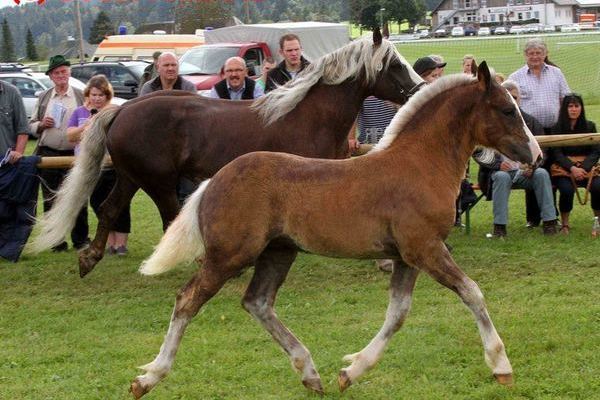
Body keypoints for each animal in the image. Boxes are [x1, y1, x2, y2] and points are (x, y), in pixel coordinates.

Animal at [28, 30, 422, 278]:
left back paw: (89, 260)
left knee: (110, 210)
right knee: (170, 215)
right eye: (394, 64)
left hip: (130, 176)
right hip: (159, 181)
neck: (309, 115)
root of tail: (123, 109)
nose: (419, 90)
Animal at [127, 62, 544, 396]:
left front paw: (351, 370)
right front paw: (501, 366)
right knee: (188, 300)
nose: (536, 155)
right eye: (508, 109)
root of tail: (213, 181)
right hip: (228, 255)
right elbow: (472, 293)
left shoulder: (407, 256)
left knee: (257, 302)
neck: (420, 164)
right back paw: (148, 377)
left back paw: (310, 373)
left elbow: (398, 313)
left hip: (279, 252)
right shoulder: (425, 248)